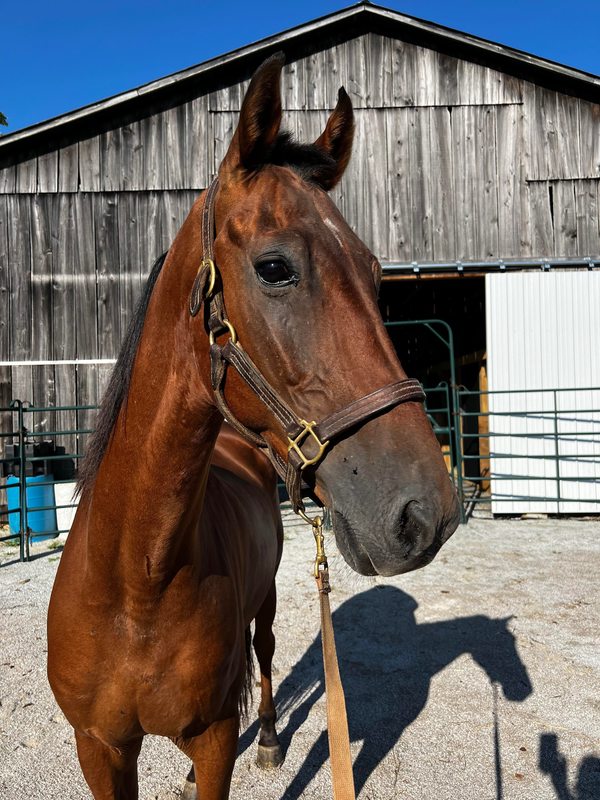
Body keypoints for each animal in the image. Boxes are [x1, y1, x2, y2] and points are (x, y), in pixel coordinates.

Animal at [48, 53, 460, 796]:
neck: (133, 585)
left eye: (376, 273)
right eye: (274, 267)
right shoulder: (98, 748)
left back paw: (267, 739)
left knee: (264, 653)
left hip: (264, 600)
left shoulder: (214, 741)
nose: (427, 513)